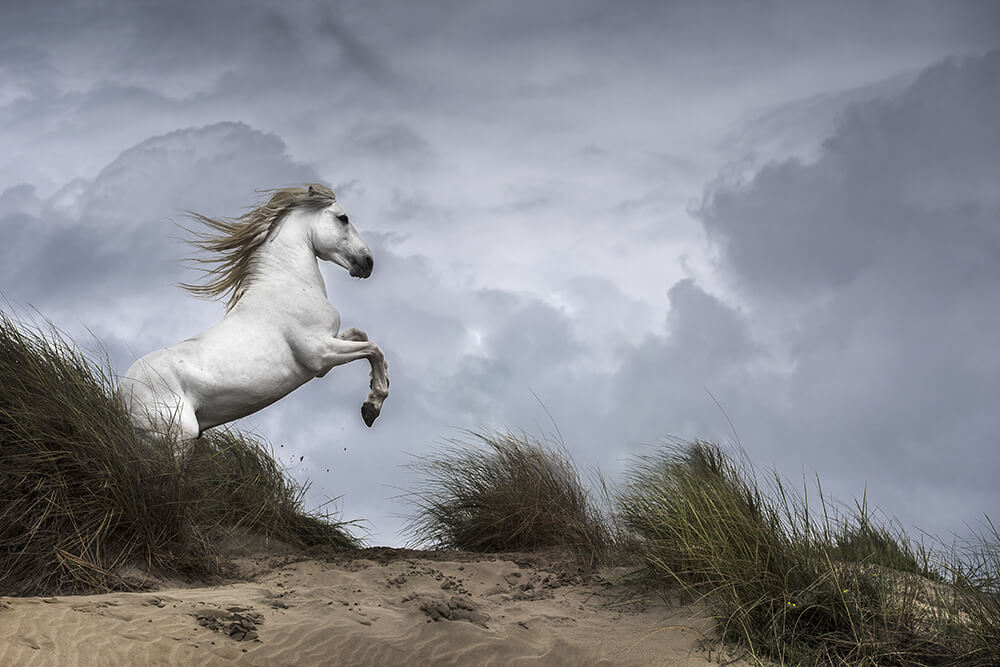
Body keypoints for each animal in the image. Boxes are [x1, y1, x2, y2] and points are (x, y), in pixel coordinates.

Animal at [121, 185, 390, 452]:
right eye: (343, 218)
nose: (368, 262)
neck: (288, 283)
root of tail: (123, 395)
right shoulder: (321, 353)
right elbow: (373, 349)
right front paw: (372, 407)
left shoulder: (328, 350)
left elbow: (360, 335)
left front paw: (375, 388)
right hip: (179, 440)